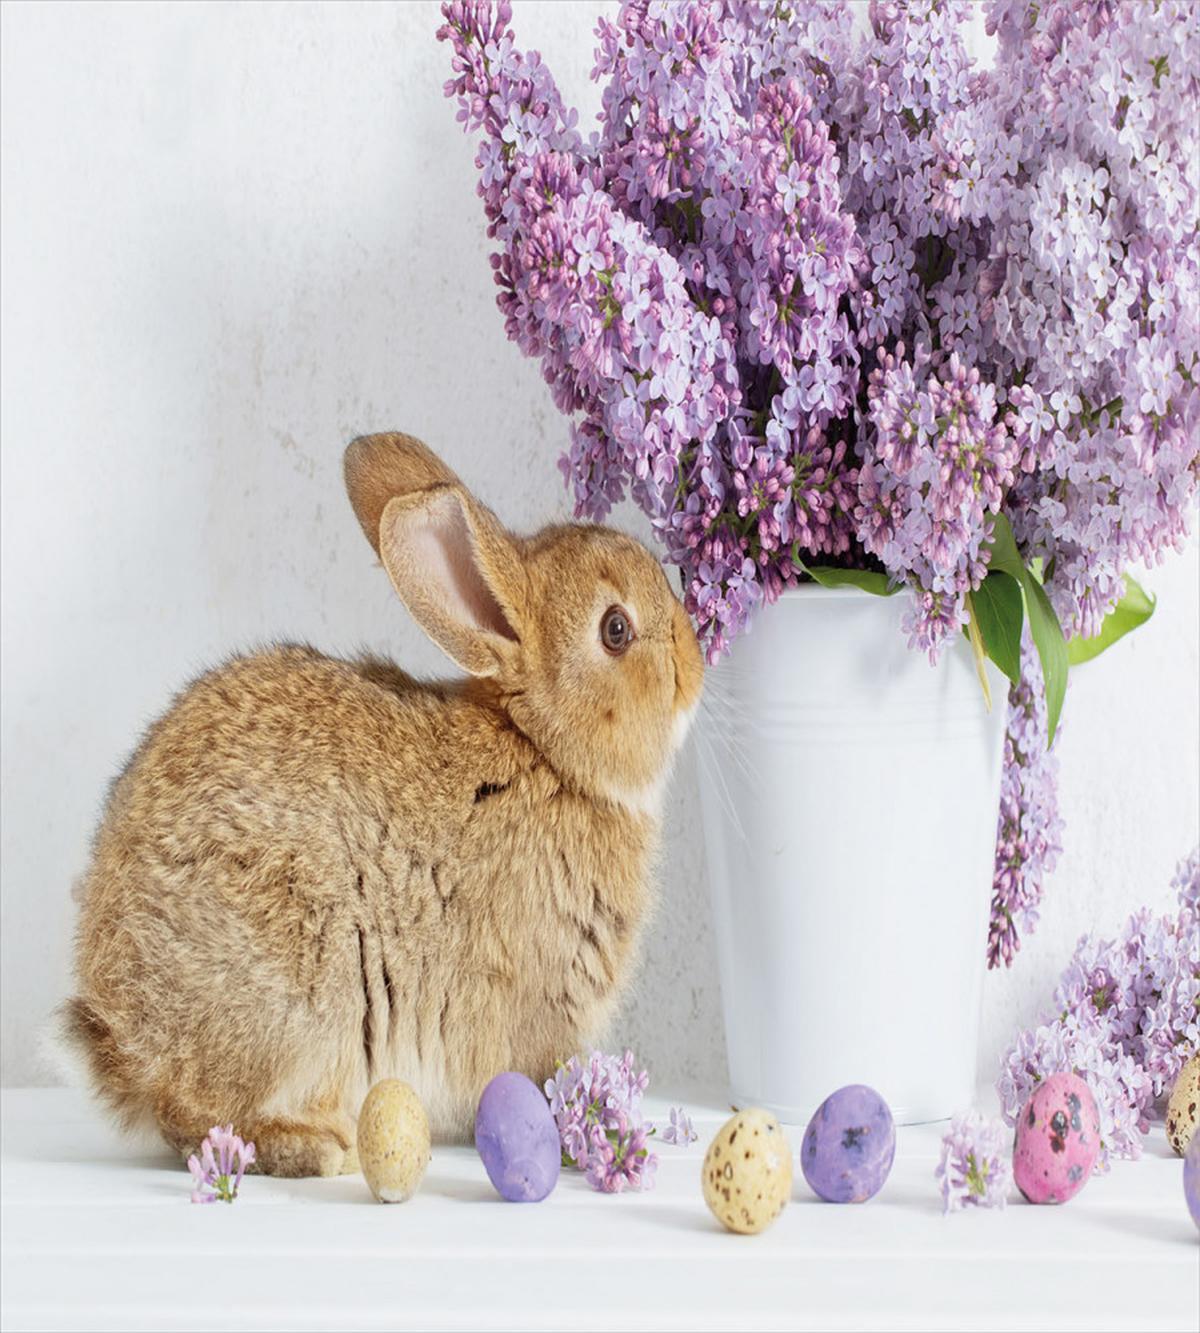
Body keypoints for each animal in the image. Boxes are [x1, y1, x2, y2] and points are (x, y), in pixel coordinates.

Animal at [62, 432, 705, 1176]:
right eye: (616, 629)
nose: (695, 658)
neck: (546, 751)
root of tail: (121, 1038)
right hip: (302, 991)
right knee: (200, 1119)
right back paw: (316, 1145)